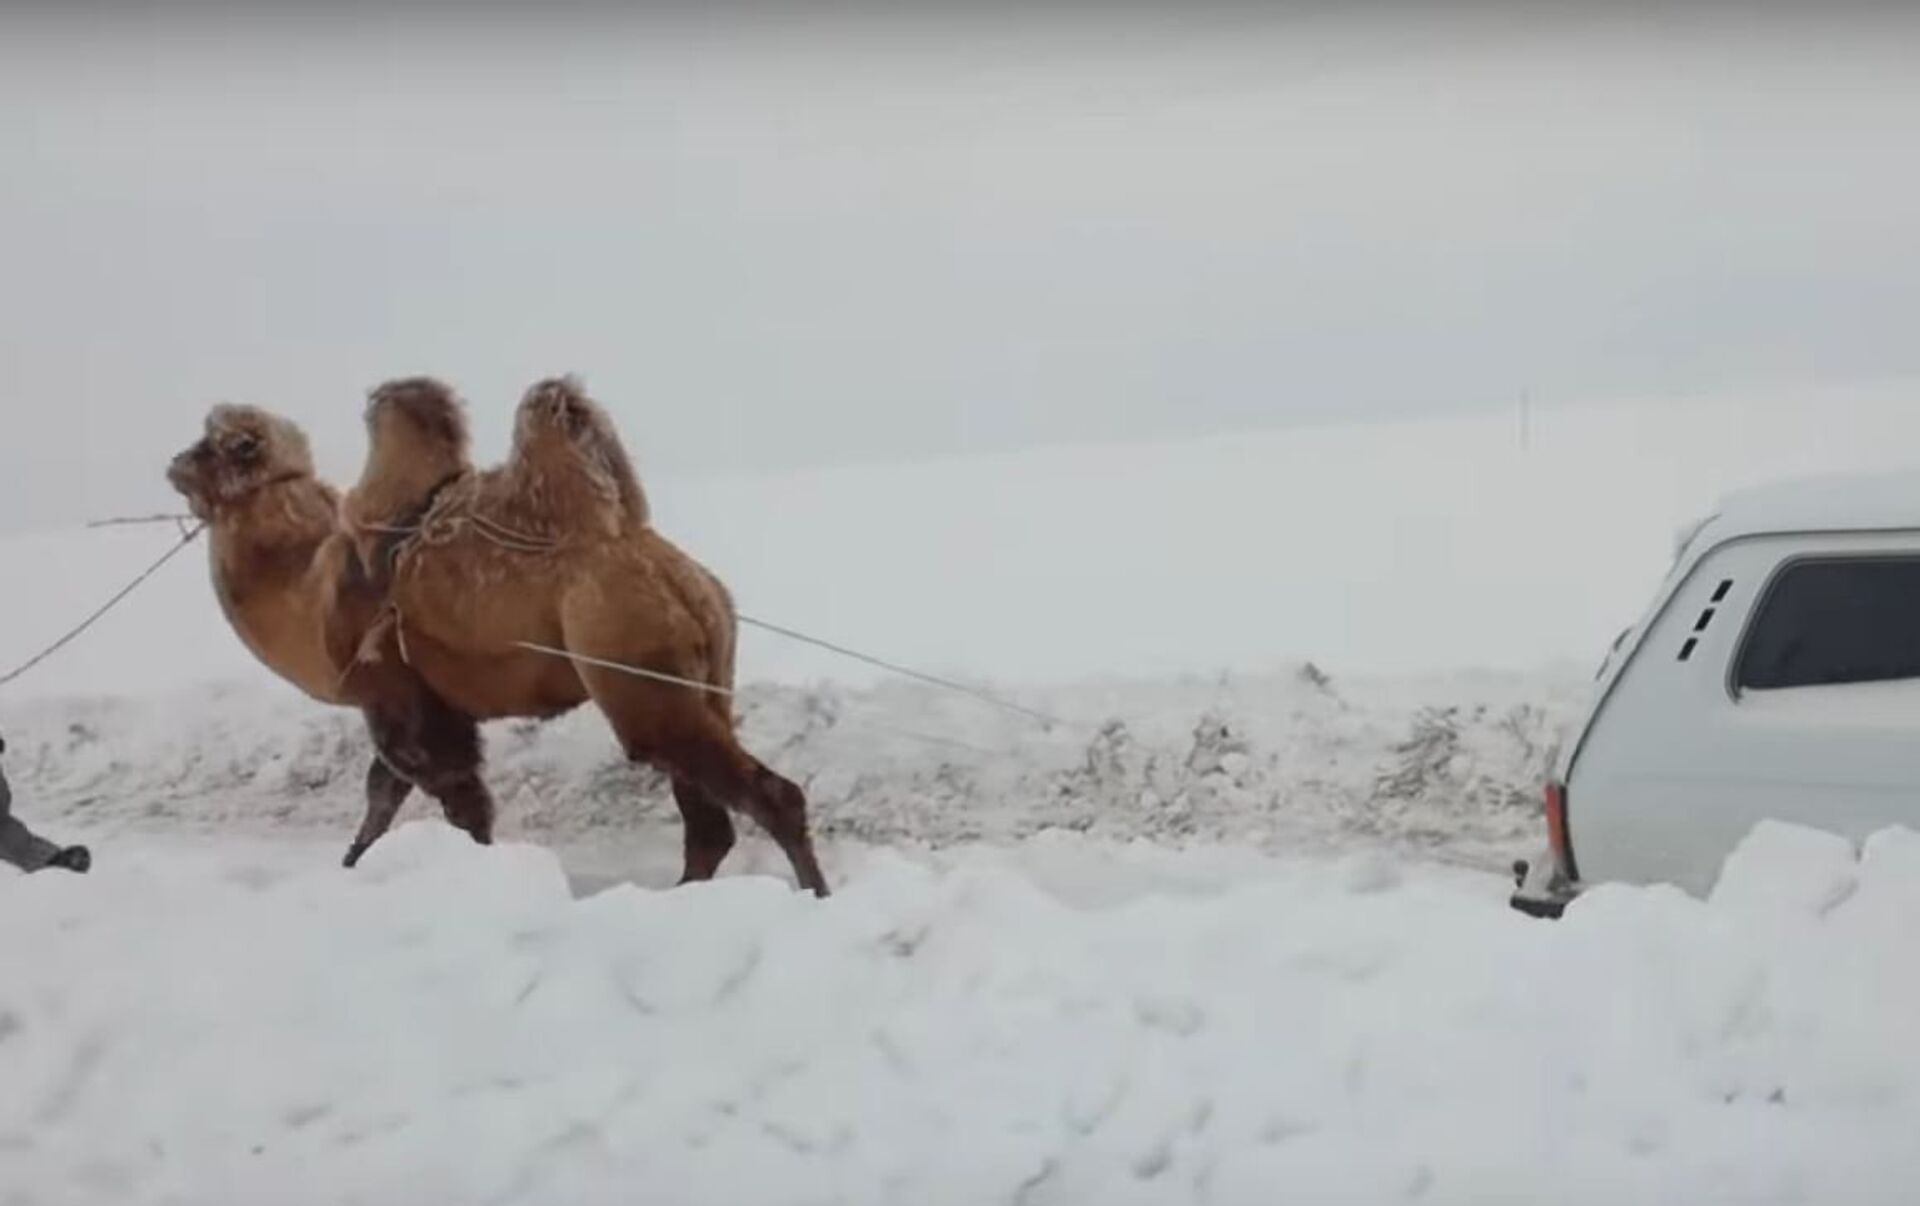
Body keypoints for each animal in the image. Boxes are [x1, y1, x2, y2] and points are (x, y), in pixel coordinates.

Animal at [165, 405, 498, 865]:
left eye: (215, 447)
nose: (175, 462)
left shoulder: (407, 703)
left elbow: (452, 789)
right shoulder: (394, 708)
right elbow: (384, 789)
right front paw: (354, 858)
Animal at [339, 375, 829, 898]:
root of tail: (680, 581)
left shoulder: (403, 696)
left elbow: (438, 787)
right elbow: (389, 787)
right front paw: (353, 861)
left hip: (633, 664)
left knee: (760, 794)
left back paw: (812, 892)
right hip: (705, 675)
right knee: (708, 819)